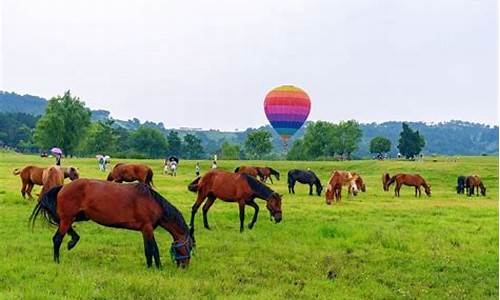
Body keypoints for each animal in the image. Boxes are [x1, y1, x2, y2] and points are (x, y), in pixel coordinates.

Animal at [29, 179, 193, 268]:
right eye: (190, 247)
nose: (185, 266)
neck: (153, 202)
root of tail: (63, 187)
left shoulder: (145, 230)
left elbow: (149, 250)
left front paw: (151, 266)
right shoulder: (147, 228)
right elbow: (153, 250)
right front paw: (158, 268)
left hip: (76, 217)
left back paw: (72, 242)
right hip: (68, 218)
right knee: (57, 239)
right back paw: (57, 260)